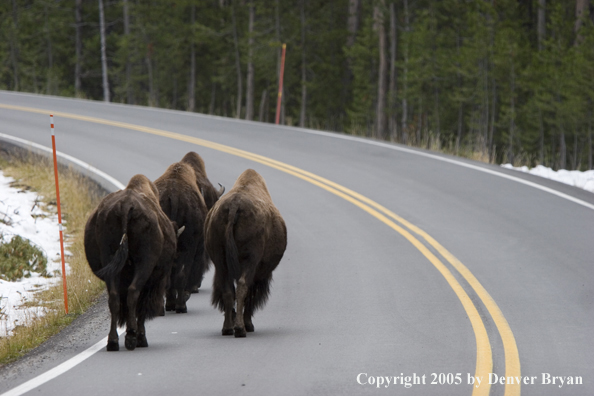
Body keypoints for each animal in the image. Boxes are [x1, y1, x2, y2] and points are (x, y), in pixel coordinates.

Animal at [84, 175, 179, 352]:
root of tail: (126, 206)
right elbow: (140, 308)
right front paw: (140, 337)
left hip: (110, 261)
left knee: (114, 298)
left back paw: (113, 342)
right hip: (144, 264)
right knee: (134, 294)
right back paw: (132, 337)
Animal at [205, 168, 286, 338]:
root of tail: (234, 205)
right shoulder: (257, 271)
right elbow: (250, 295)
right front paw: (249, 324)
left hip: (220, 262)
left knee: (228, 290)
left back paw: (227, 328)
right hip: (250, 261)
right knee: (243, 287)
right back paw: (240, 329)